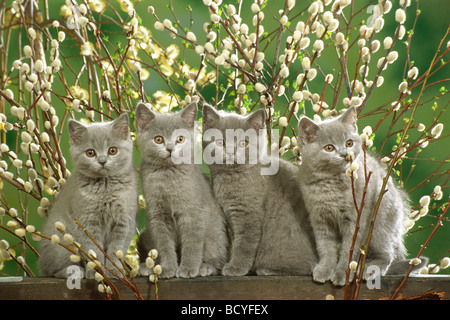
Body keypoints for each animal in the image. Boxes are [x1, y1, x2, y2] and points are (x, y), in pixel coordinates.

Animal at [40, 114, 139, 278]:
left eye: (112, 150)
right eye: (90, 153)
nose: (102, 161)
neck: (106, 187)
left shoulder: (124, 220)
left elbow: (116, 249)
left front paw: (114, 271)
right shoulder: (87, 221)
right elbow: (93, 249)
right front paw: (97, 272)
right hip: (61, 240)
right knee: (51, 270)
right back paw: (75, 271)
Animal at [135, 102, 229, 278]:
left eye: (180, 139)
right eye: (158, 139)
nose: (170, 148)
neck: (168, 175)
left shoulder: (194, 212)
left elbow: (192, 242)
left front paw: (188, 268)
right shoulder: (157, 215)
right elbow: (164, 244)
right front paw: (166, 268)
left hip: (216, 234)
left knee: (218, 256)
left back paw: (206, 266)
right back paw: (147, 267)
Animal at [202, 104, 318, 276]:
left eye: (243, 143)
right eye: (220, 142)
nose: (230, 152)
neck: (231, 177)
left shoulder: (248, 214)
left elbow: (245, 242)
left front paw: (235, 267)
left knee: (306, 266)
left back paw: (267, 270)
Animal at [298, 106, 424, 286]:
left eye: (349, 143)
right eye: (329, 148)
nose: (345, 154)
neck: (331, 183)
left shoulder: (356, 219)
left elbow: (349, 248)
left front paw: (342, 274)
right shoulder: (319, 218)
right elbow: (325, 247)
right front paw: (324, 269)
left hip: (380, 224)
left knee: (387, 254)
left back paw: (369, 270)